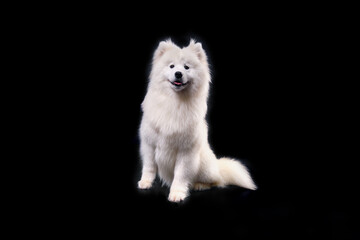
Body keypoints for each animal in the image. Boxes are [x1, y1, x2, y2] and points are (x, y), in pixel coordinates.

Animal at [136, 38, 258, 202]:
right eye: (171, 66)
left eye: (186, 67)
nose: (178, 74)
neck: (175, 103)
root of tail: (217, 165)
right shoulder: (150, 145)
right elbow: (149, 167)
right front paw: (145, 183)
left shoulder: (186, 152)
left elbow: (181, 175)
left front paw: (177, 193)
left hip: (204, 167)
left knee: (217, 181)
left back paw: (199, 185)